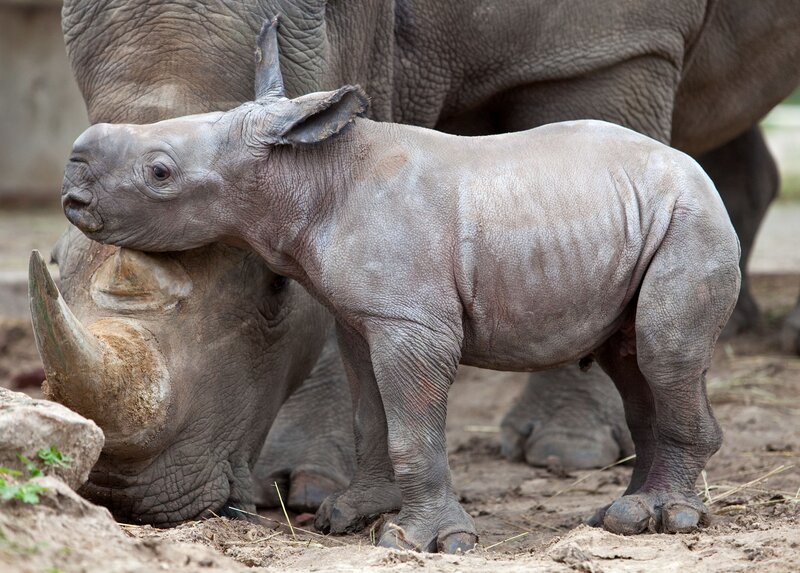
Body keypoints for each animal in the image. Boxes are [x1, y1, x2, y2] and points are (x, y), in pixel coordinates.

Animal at [48, 0, 800, 528]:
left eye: (160, 172)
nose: (73, 184)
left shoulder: (601, 46)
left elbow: (411, 418)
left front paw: (444, 525)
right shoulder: (364, 300)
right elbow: (370, 403)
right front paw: (333, 506)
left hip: (682, 217)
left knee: (664, 348)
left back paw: (665, 511)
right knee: (635, 351)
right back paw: (631, 504)